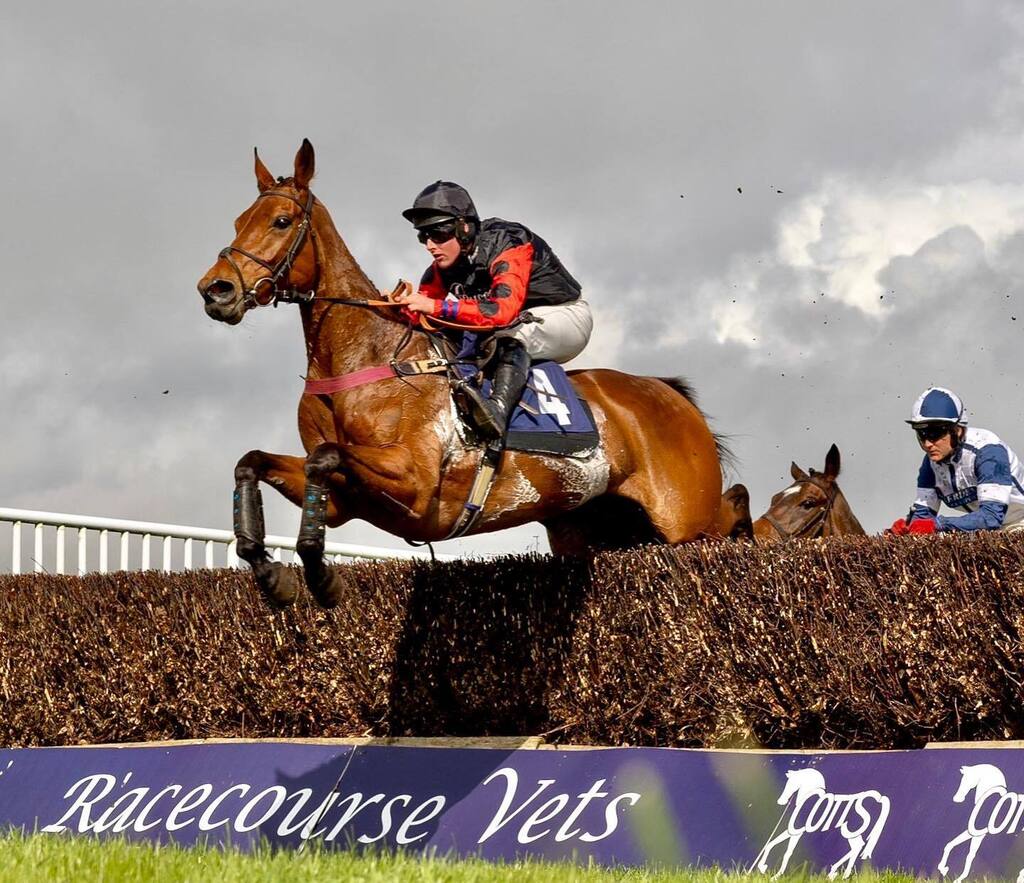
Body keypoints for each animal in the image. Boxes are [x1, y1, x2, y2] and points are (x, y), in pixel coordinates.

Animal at [197, 140, 729, 606]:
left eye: (281, 221)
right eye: (239, 221)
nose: (215, 290)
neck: (363, 358)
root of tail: (670, 394)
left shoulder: (416, 486)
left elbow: (323, 457)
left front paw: (323, 580)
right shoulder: (344, 503)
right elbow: (253, 462)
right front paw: (272, 574)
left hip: (688, 524)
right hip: (589, 525)